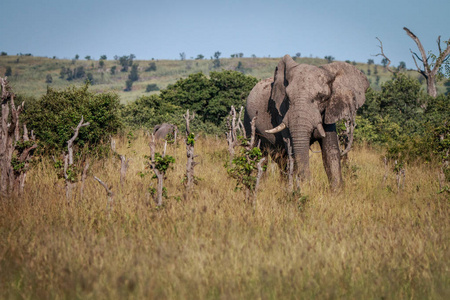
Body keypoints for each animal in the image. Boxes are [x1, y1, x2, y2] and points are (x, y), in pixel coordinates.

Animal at [246, 55, 370, 189]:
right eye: (287, 97)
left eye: (322, 97)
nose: (309, 182)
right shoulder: (282, 113)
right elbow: (292, 149)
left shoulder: (329, 111)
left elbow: (331, 151)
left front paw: (337, 191)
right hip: (248, 118)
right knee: (259, 153)